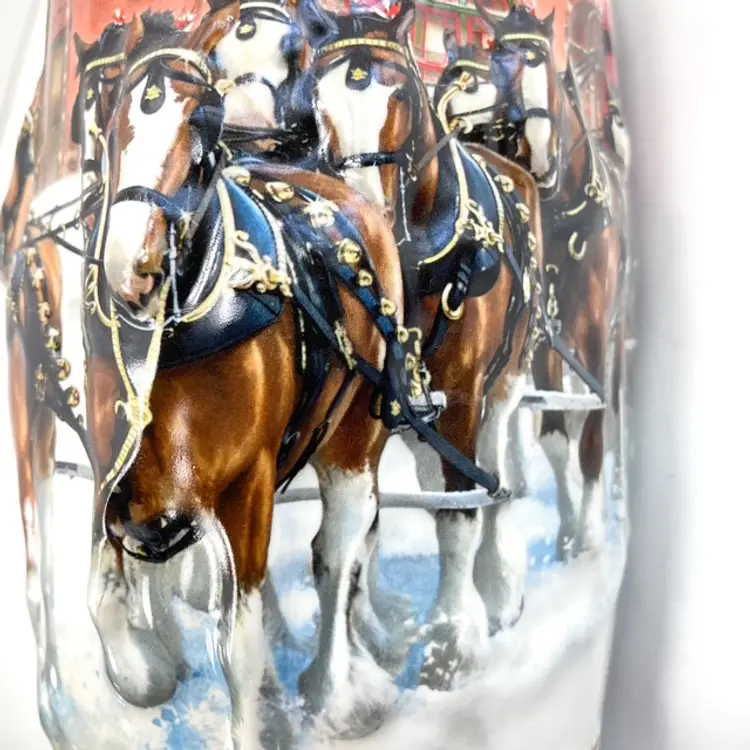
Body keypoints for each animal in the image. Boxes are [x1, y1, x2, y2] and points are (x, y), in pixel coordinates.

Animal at [85, 3, 441, 742]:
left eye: (204, 130)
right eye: (115, 116)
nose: (131, 270)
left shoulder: (245, 485)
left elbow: (239, 642)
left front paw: (257, 720)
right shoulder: (117, 472)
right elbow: (105, 595)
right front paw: (148, 670)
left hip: (351, 443)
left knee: (338, 554)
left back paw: (334, 689)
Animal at [298, 0, 547, 686]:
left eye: (401, 93)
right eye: (316, 103)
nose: (362, 214)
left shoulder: (461, 396)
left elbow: (458, 512)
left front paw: (450, 643)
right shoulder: (373, 402)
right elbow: (366, 523)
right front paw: (375, 637)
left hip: (507, 379)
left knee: (496, 471)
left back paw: (497, 585)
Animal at [470, 0, 626, 559]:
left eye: (549, 73)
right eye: (498, 73)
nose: (536, 153)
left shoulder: (597, 332)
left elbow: (594, 428)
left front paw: (591, 534)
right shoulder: (543, 340)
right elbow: (558, 437)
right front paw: (567, 531)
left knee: (614, 404)